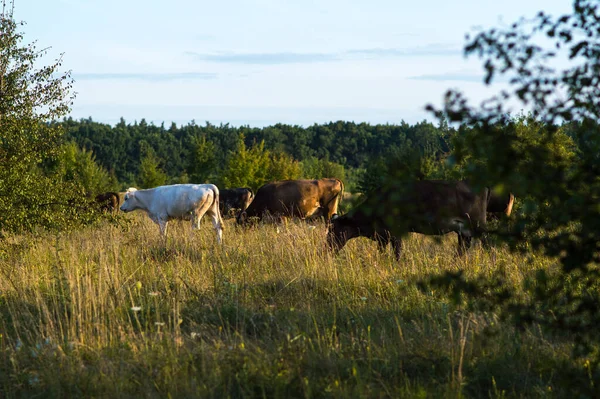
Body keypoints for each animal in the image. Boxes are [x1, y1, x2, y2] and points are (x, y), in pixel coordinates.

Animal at [328, 180, 492, 260]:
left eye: (333, 231)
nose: (327, 250)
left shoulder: (394, 232)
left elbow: (397, 252)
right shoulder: (383, 235)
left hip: (478, 224)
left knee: (487, 243)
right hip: (463, 230)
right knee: (463, 247)